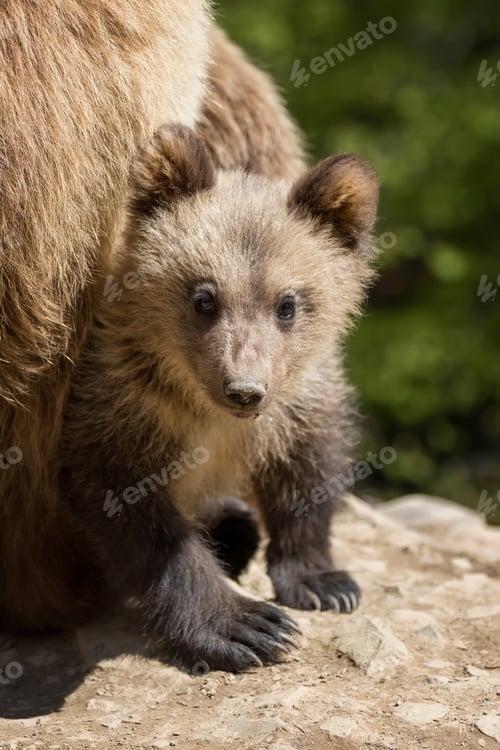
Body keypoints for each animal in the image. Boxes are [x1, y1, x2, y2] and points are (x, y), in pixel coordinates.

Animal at [59, 123, 379, 673]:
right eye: (204, 297)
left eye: (287, 303)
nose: (244, 390)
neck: (206, 413)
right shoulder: (121, 406)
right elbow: (138, 520)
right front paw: (246, 626)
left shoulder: (301, 403)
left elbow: (308, 472)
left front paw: (323, 582)